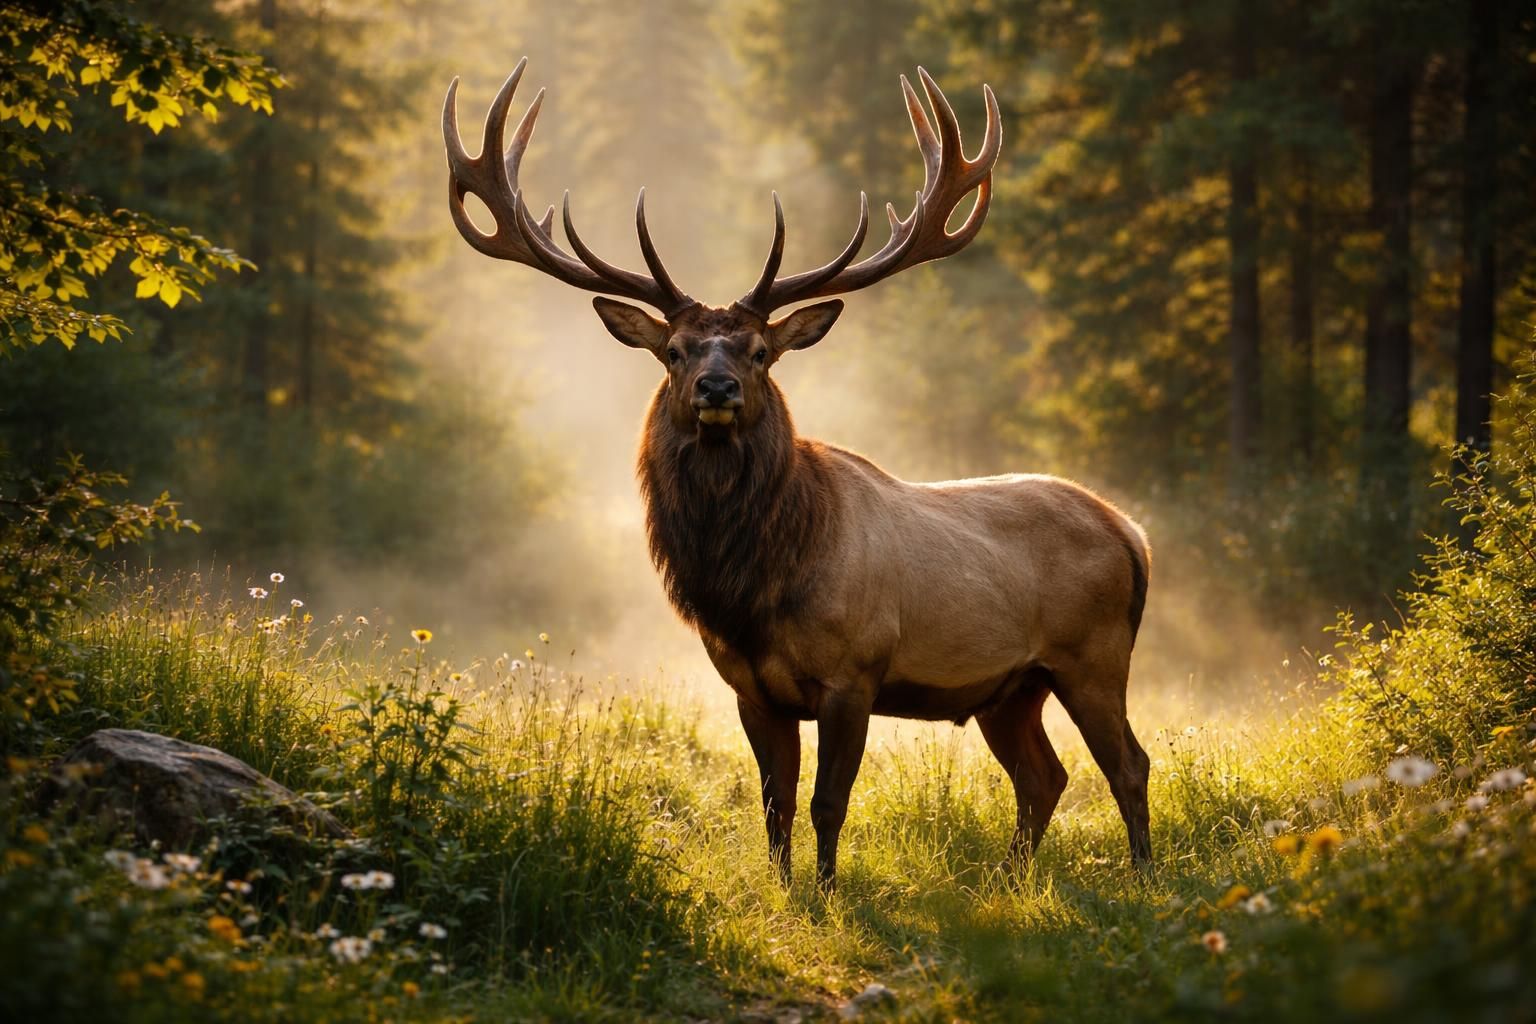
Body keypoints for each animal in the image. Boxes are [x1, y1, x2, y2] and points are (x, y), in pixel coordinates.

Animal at [443, 59, 1153, 889]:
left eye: (759, 351)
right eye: (675, 350)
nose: (718, 389)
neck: (756, 586)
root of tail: (1130, 533)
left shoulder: (856, 671)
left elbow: (826, 803)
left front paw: (827, 891)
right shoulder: (750, 687)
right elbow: (774, 804)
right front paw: (785, 890)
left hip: (1092, 655)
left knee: (1128, 765)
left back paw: (1145, 875)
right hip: (1011, 688)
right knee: (1045, 776)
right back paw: (1009, 880)